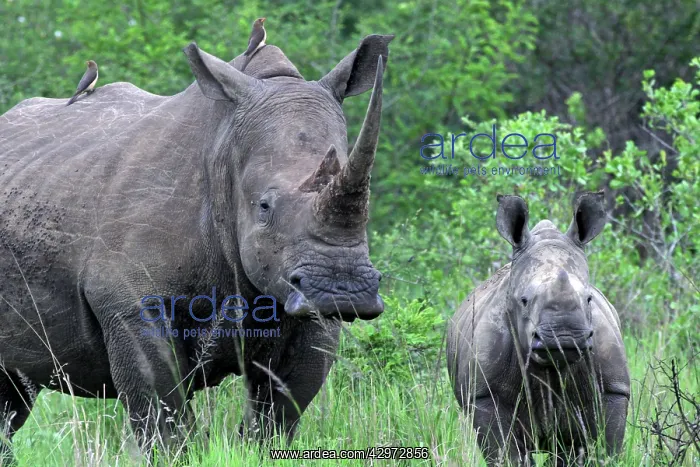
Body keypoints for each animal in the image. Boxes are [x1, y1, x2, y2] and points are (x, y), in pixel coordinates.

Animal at [0, 34, 393, 455]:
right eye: (264, 207)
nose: (343, 291)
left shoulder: (307, 309)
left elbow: (279, 412)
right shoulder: (129, 303)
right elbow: (163, 417)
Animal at [446, 192, 630, 465]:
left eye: (588, 299)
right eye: (523, 300)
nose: (564, 338)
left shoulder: (613, 390)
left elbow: (605, 451)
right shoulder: (484, 397)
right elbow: (505, 455)